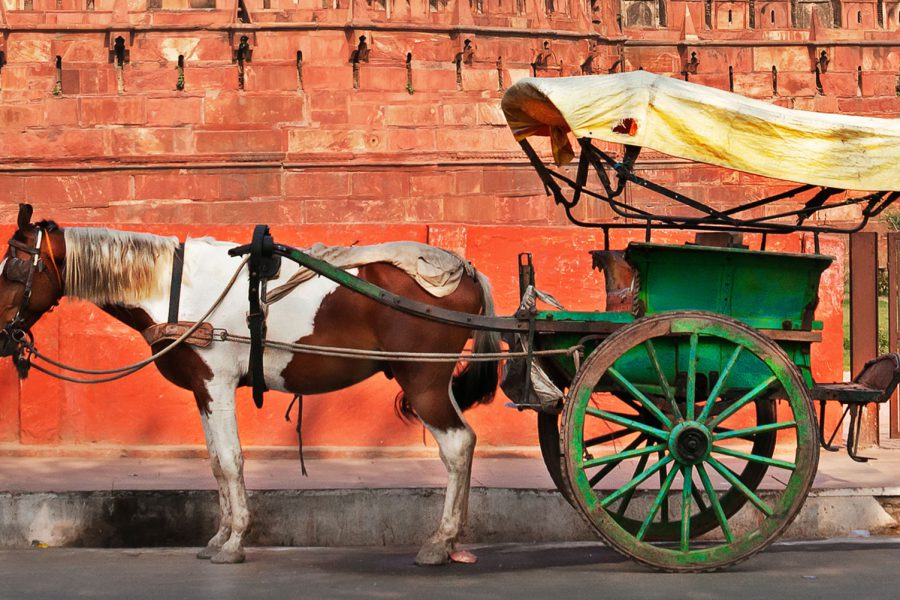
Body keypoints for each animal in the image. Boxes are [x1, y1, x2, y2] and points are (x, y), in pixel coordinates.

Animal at [0, 204, 500, 564]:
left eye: (13, 271)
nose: (4, 336)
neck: (175, 288)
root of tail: (467, 272)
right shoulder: (203, 391)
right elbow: (216, 464)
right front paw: (218, 536)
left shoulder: (216, 381)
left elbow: (232, 460)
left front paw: (234, 541)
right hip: (432, 376)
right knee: (464, 443)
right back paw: (454, 542)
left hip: (423, 378)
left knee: (458, 445)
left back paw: (440, 542)